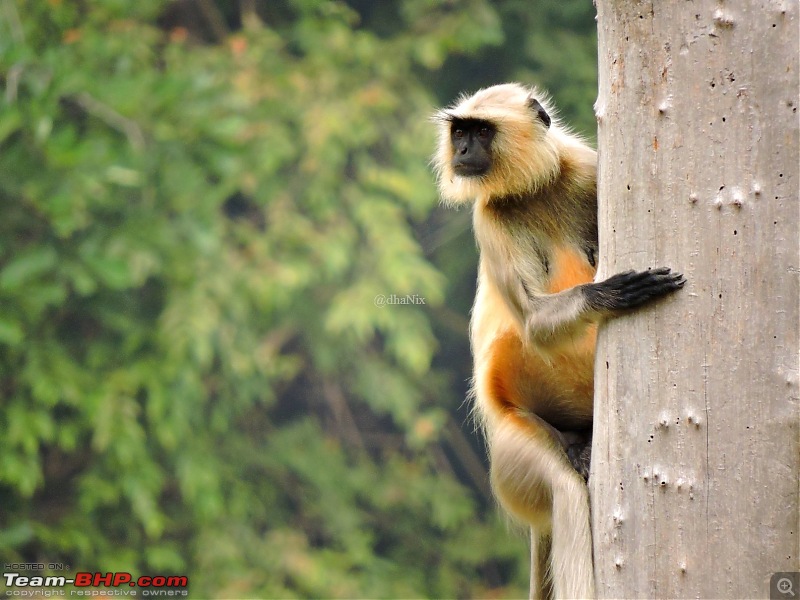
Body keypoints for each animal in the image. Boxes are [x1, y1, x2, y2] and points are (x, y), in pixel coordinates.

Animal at [434, 82, 684, 596]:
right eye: (460, 132)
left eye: (480, 132)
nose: (463, 152)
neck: (533, 188)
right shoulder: (488, 218)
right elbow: (532, 323)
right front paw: (607, 294)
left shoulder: (586, 169)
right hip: (513, 443)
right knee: (564, 493)